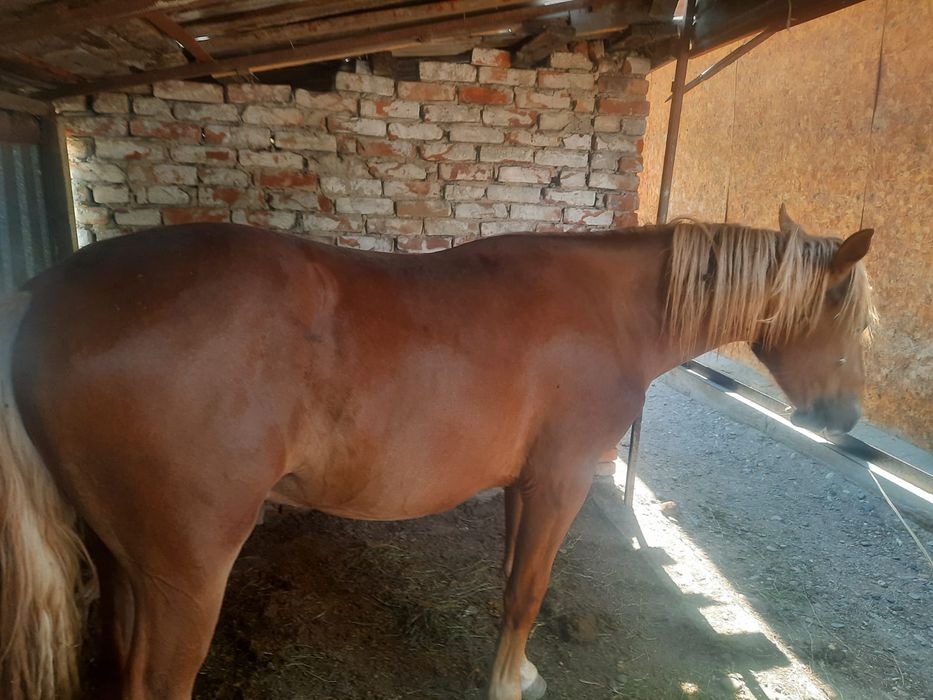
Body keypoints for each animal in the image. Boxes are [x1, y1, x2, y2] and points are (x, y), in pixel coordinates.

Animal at [0, 205, 874, 700]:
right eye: (850, 314)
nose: (843, 420)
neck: (608, 311)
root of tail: (44, 294)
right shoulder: (560, 481)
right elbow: (529, 589)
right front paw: (506, 687)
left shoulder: (524, 484)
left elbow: (510, 582)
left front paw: (515, 670)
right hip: (185, 572)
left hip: (122, 560)